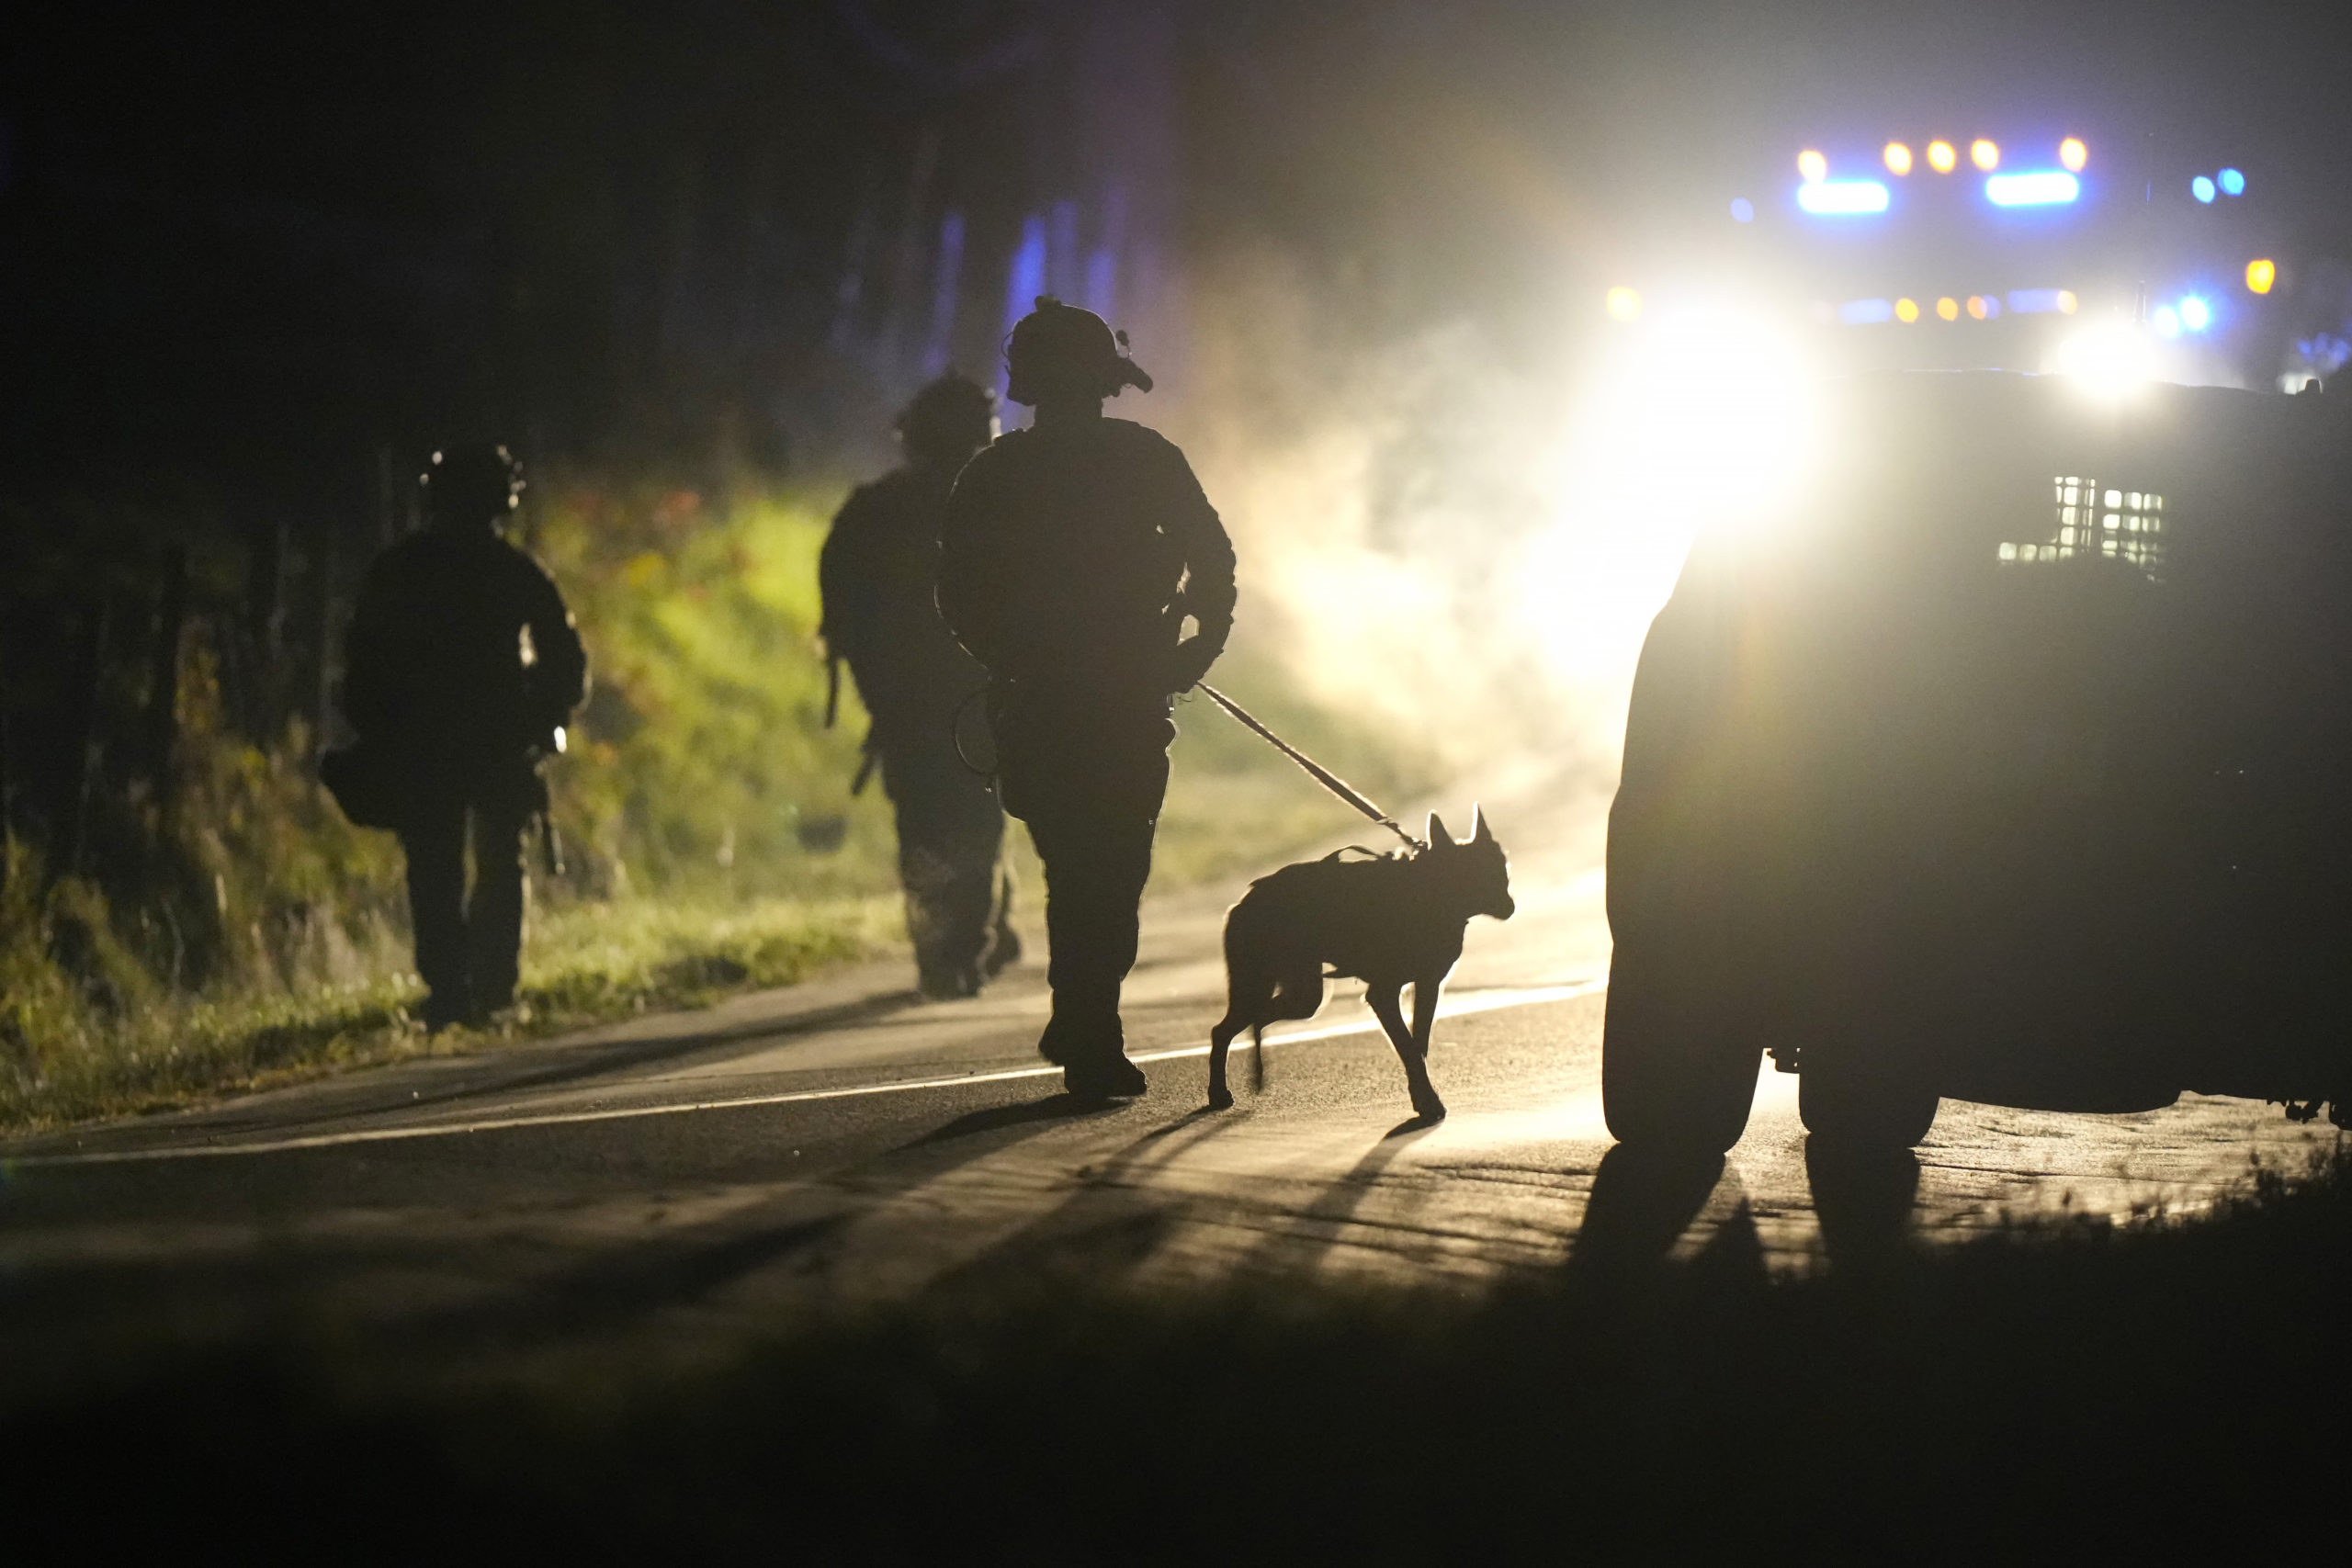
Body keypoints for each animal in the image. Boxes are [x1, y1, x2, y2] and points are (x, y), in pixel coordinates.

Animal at [1204, 808, 1514, 1128]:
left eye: (1502, 872)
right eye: (1476, 875)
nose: (1510, 906)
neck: (1430, 892)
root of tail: (1241, 902)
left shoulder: (1428, 986)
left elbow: (1418, 1045)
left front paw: (1421, 1095)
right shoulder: (1383, 994)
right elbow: (1409, 1049)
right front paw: (1427, 1102)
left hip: (1304, 995)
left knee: (1252, 1021)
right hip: (1266, 986)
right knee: (1224, 1029)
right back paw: (1220, 1092)